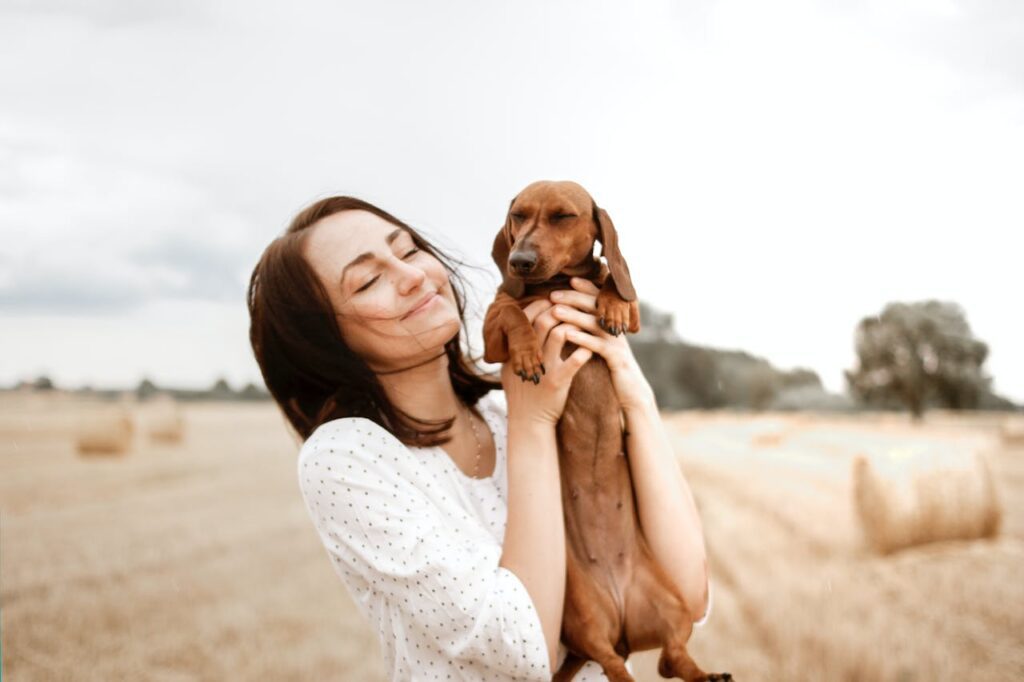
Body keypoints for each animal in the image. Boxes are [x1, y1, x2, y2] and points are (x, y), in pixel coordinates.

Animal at [483, 180, 733, 679]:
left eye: (563, 216)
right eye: (518, 215)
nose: (519, 261)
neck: (555, 284)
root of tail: (621, 618)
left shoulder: (631, 317)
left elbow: (616, 290)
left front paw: (611, 304)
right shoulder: (489, 335)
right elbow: (513, 313)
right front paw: (527, 353)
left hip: (673, 607)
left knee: (672, 658)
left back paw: (706, 673)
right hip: (583, 614)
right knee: (618, 663)